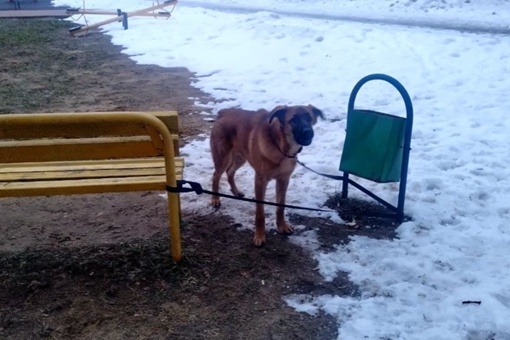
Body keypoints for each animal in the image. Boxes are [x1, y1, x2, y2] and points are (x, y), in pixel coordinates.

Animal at [210, 105, 322, 246]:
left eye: (309, 118)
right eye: (293, 120)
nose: (308, 132)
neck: (279, 146)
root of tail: (224, 112)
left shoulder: (283, 180)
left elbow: (281, 206)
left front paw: (282, 226)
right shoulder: (260, 181)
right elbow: (260, 213)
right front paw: (259, 235)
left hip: (240, 158)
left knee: (230, 172)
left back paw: (236, 191)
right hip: (223, 158)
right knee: (216, 176)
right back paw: (215, 199)